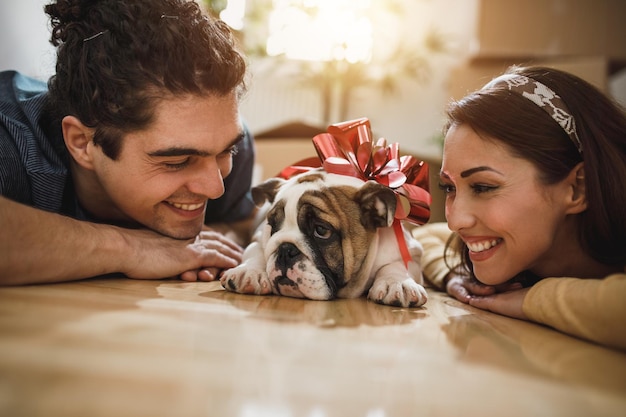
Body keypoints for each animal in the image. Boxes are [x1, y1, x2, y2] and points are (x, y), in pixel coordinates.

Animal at [217, 167, 426, 308]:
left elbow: (396, 265)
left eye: (321, 231)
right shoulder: (259, 237)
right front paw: (249, 271)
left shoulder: (411, 253)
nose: (285, 249)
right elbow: (256, 252)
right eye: (273, 225)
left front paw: (397, 283)